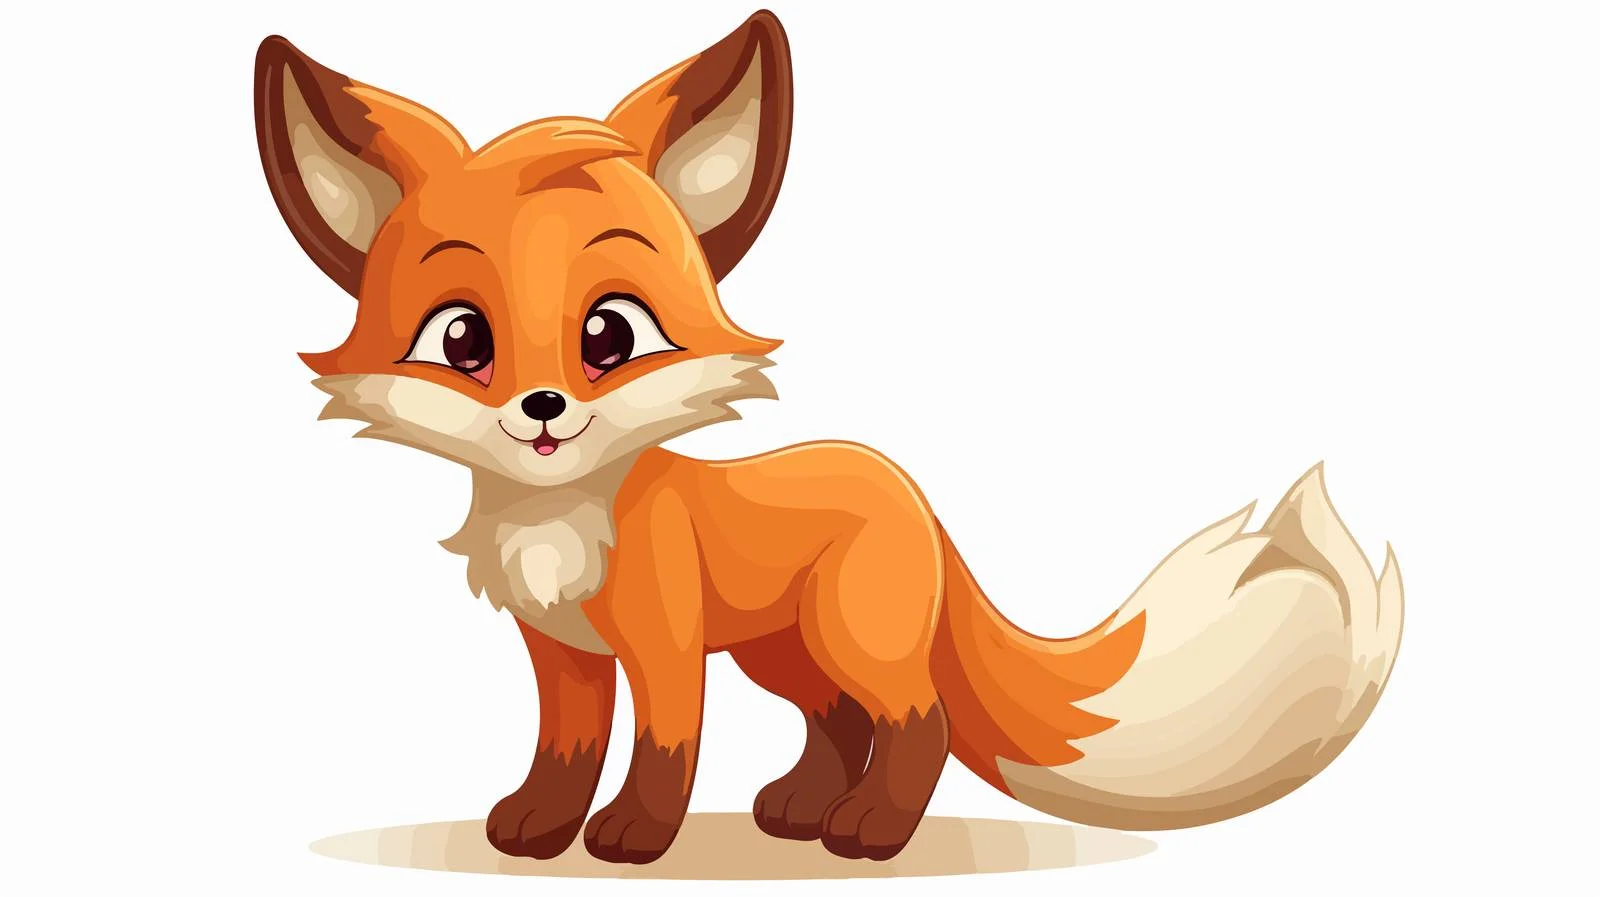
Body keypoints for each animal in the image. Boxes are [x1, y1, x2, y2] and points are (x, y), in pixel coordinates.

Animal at [253, 10, 1403, 865]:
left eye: (609, 335)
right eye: (463, 341)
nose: (542, 408)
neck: (564, 523)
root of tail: (905, 486)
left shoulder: (666, 646)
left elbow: (664, 747)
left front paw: (633, 836)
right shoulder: (564, 655)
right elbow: (564, 752)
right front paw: (539, 825)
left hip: (852, 639)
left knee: (917, 721)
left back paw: (873, 831)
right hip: (788, 654)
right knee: (840, 723)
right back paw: (803, 810)